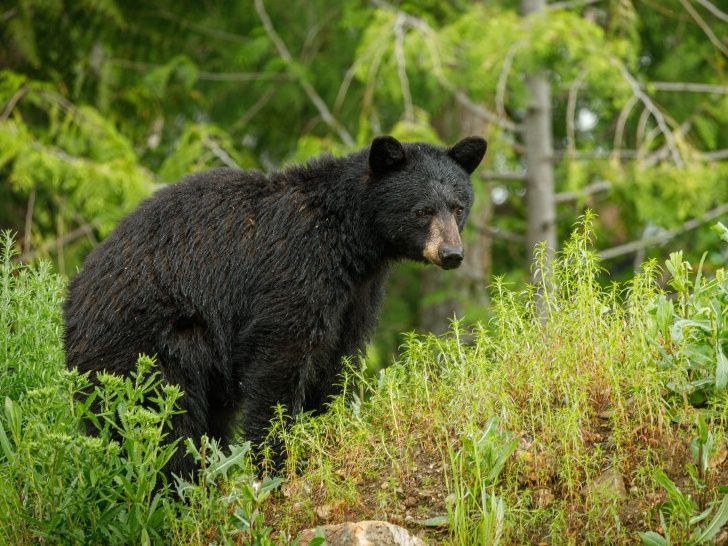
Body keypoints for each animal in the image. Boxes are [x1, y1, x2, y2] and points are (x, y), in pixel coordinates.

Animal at [62, 134, 484, 474]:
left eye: (458, 206)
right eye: (422, 210)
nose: (451, 254)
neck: (350, 240)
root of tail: (73, 297)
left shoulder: (357, 295)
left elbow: (338, 360)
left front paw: (325, 432)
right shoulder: (294, 271)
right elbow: (279, 362)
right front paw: (275, 459)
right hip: (146, 341)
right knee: (161, 417)